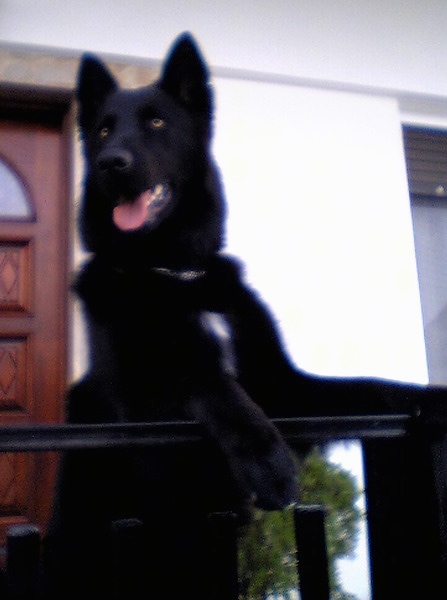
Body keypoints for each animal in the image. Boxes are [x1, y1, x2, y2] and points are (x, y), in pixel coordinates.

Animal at [43, 34, 444, 600]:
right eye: (102, 129)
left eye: (156, 122)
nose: (108, 162)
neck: (174, 272)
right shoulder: (140, 403)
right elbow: (209, 381)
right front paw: (266, 460)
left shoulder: (287, 390)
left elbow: (375, 389)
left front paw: (435, 399)